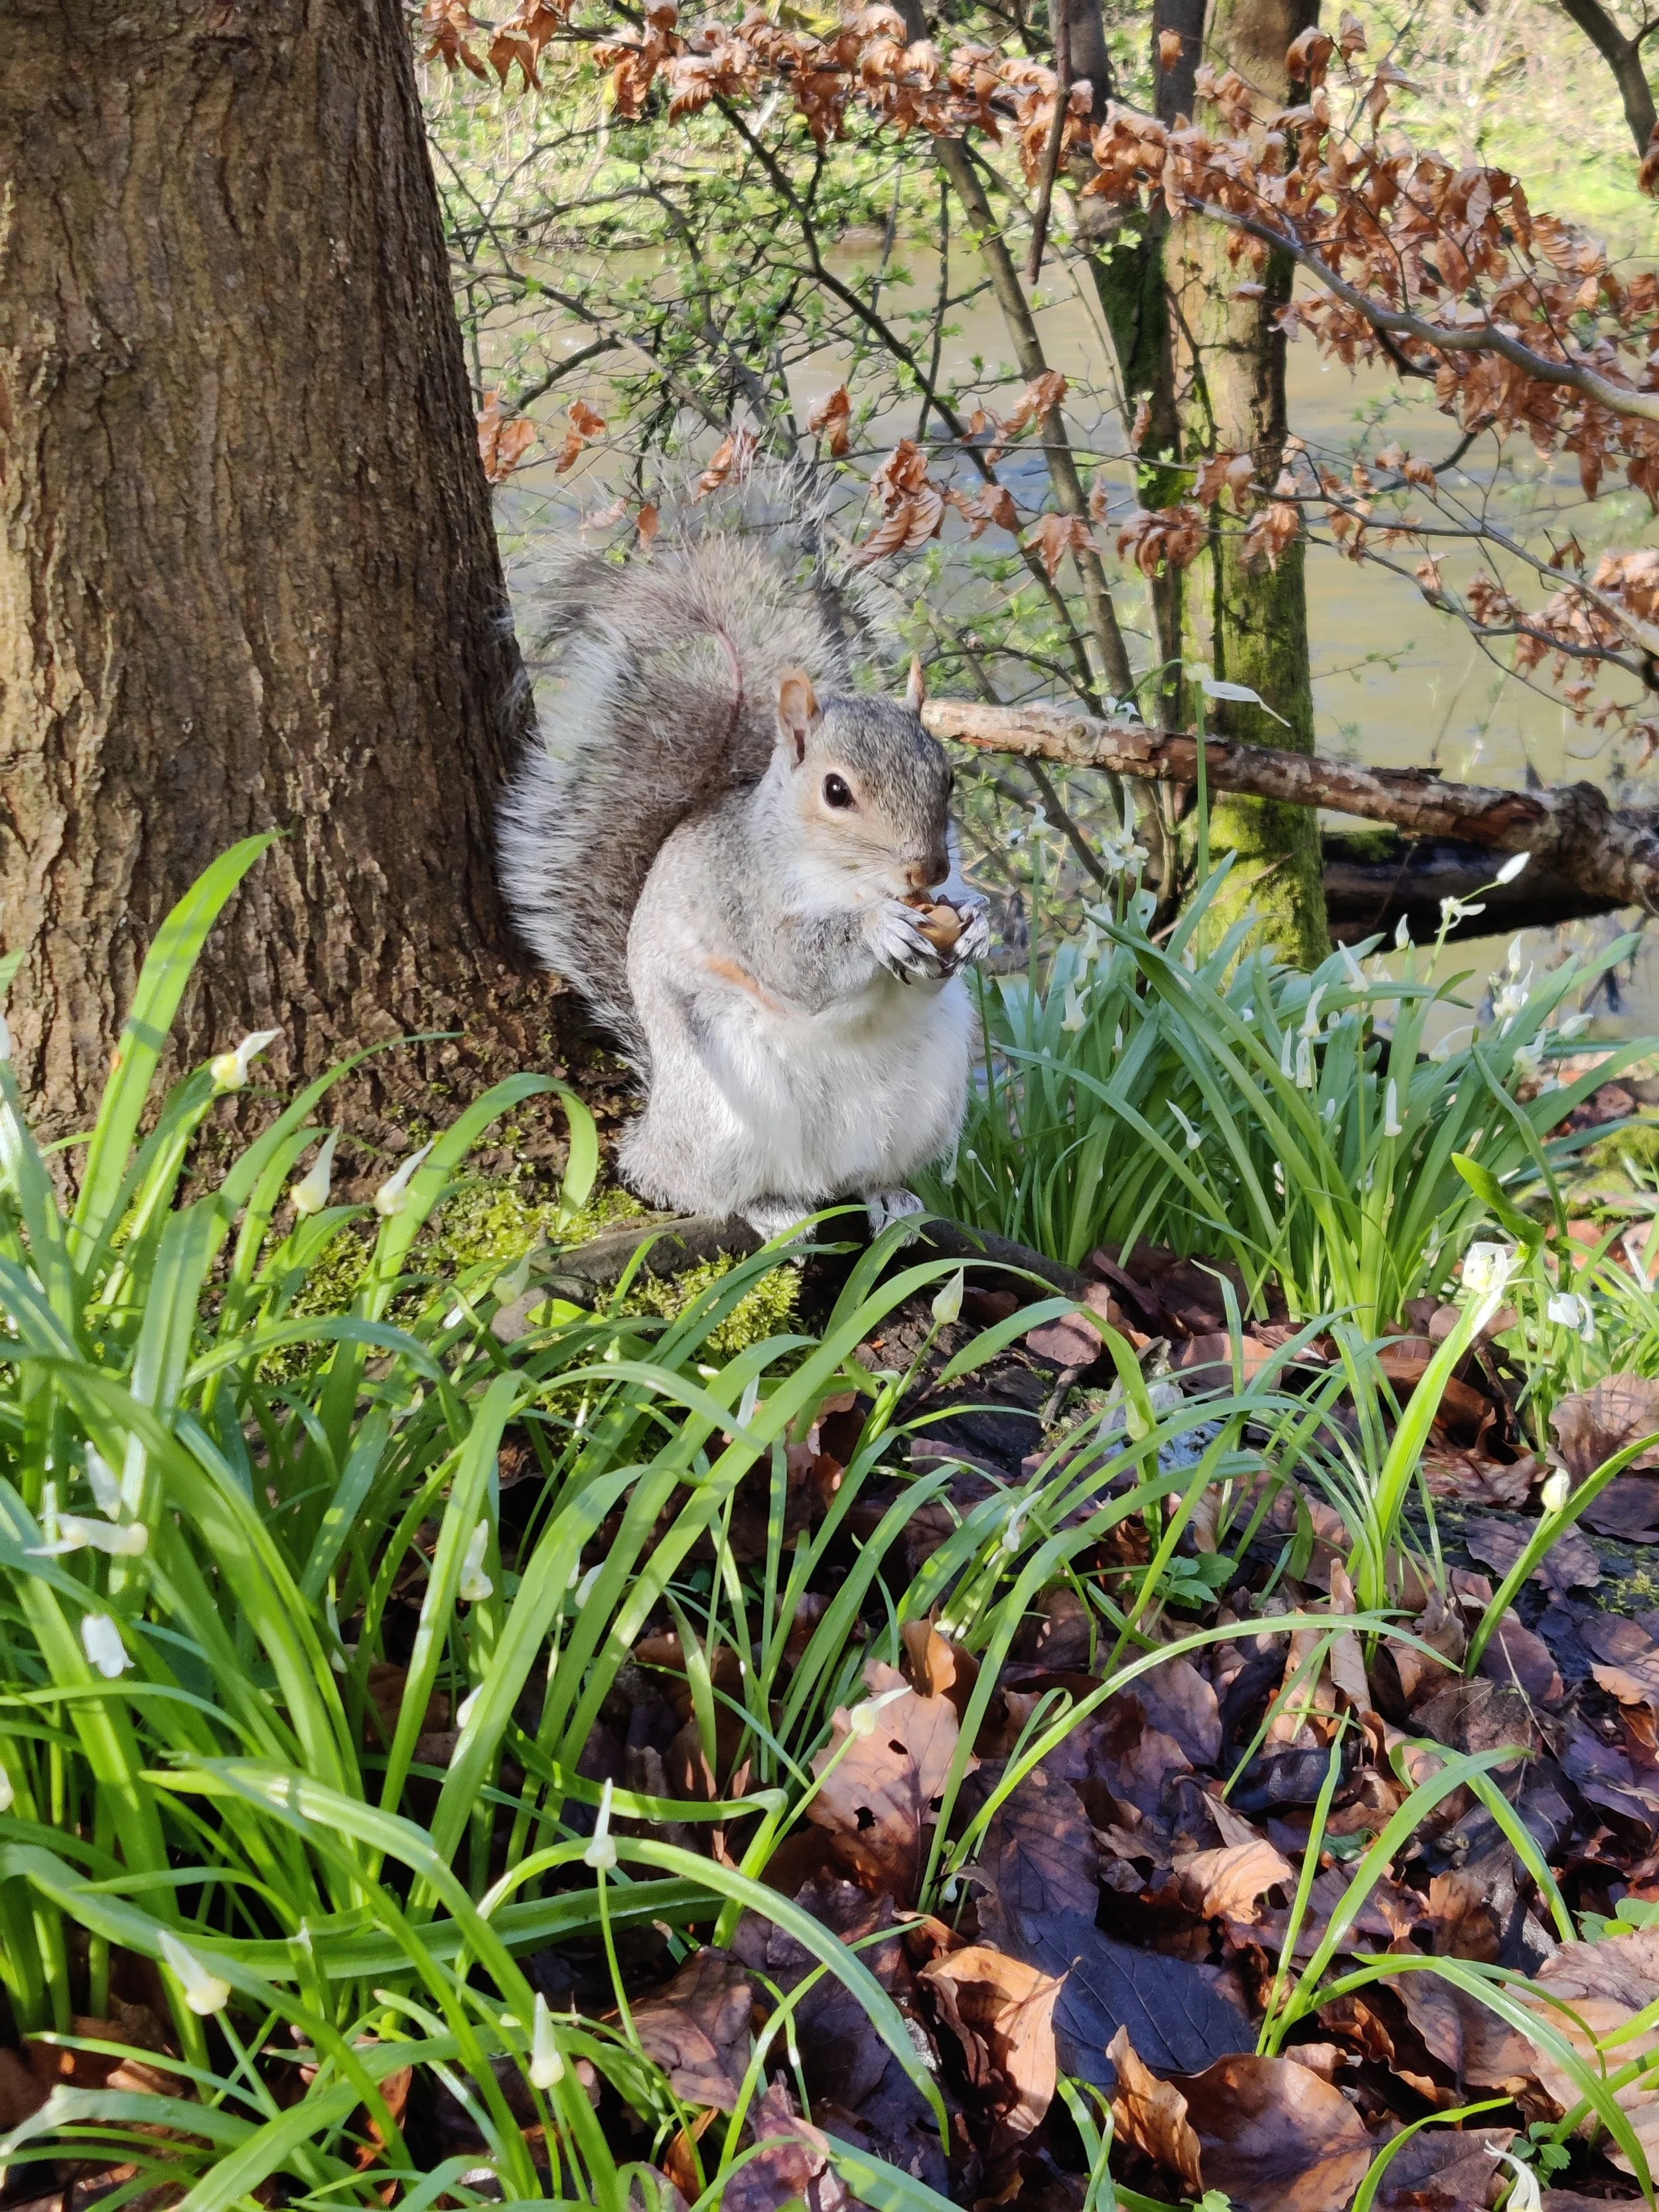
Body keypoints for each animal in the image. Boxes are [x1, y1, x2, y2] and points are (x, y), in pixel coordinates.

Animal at [499, 523, 988, 1239]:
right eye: (835, 791)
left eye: (948, 777)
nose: (929, 870)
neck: (844, 877)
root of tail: (654, 1130)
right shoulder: (744, 899)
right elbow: (794, 962)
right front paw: (882, 928)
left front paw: (977, 920)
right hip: (722, 1115)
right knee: (702, 1188)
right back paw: (772, 1209)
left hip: (927, 1100)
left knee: (867, 1174)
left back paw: (890, 1199)